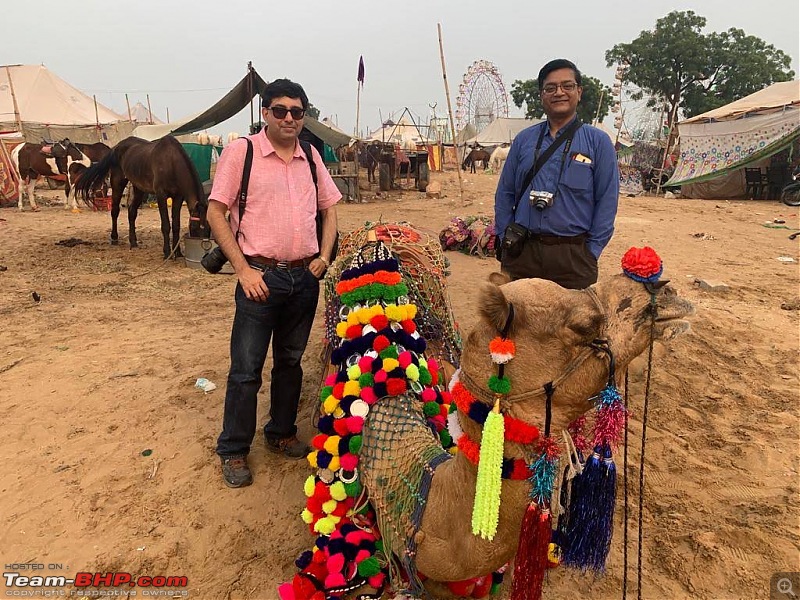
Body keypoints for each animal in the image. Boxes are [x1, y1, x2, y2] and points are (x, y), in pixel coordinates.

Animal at [74, 137, 209, 258]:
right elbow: (166, 225)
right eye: (196, 227)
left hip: (139, 188)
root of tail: (116, 147)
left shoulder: (178, 197)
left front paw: (178, 253)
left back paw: (133, 242)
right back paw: (114, 238)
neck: (171, 162)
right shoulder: (161, 195)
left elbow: (176, 225)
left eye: (208, 228)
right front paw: (167, 252)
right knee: (115, 211)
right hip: (118, 183)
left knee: (132, 212)